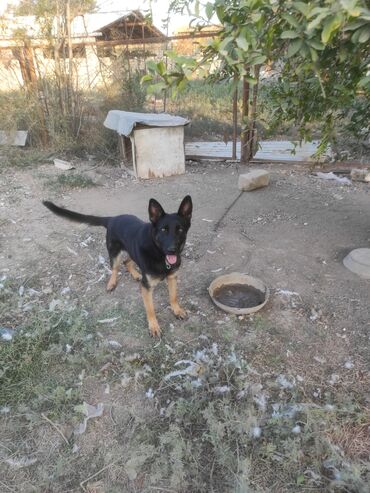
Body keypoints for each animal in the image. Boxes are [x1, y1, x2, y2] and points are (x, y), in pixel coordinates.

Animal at [43, 196, 192, 334]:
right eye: (163, 230)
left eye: (180, 230)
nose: (172, 250)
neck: (160, 254)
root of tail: (112, 219)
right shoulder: (147, 287)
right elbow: (150, 309)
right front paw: (154, 326)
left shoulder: (172, 278)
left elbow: (173, 296)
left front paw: (177, 310)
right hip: (115, 254)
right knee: (115, 268)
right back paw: (112, 283)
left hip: (132, 250)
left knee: (126, 262)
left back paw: (136, 274)